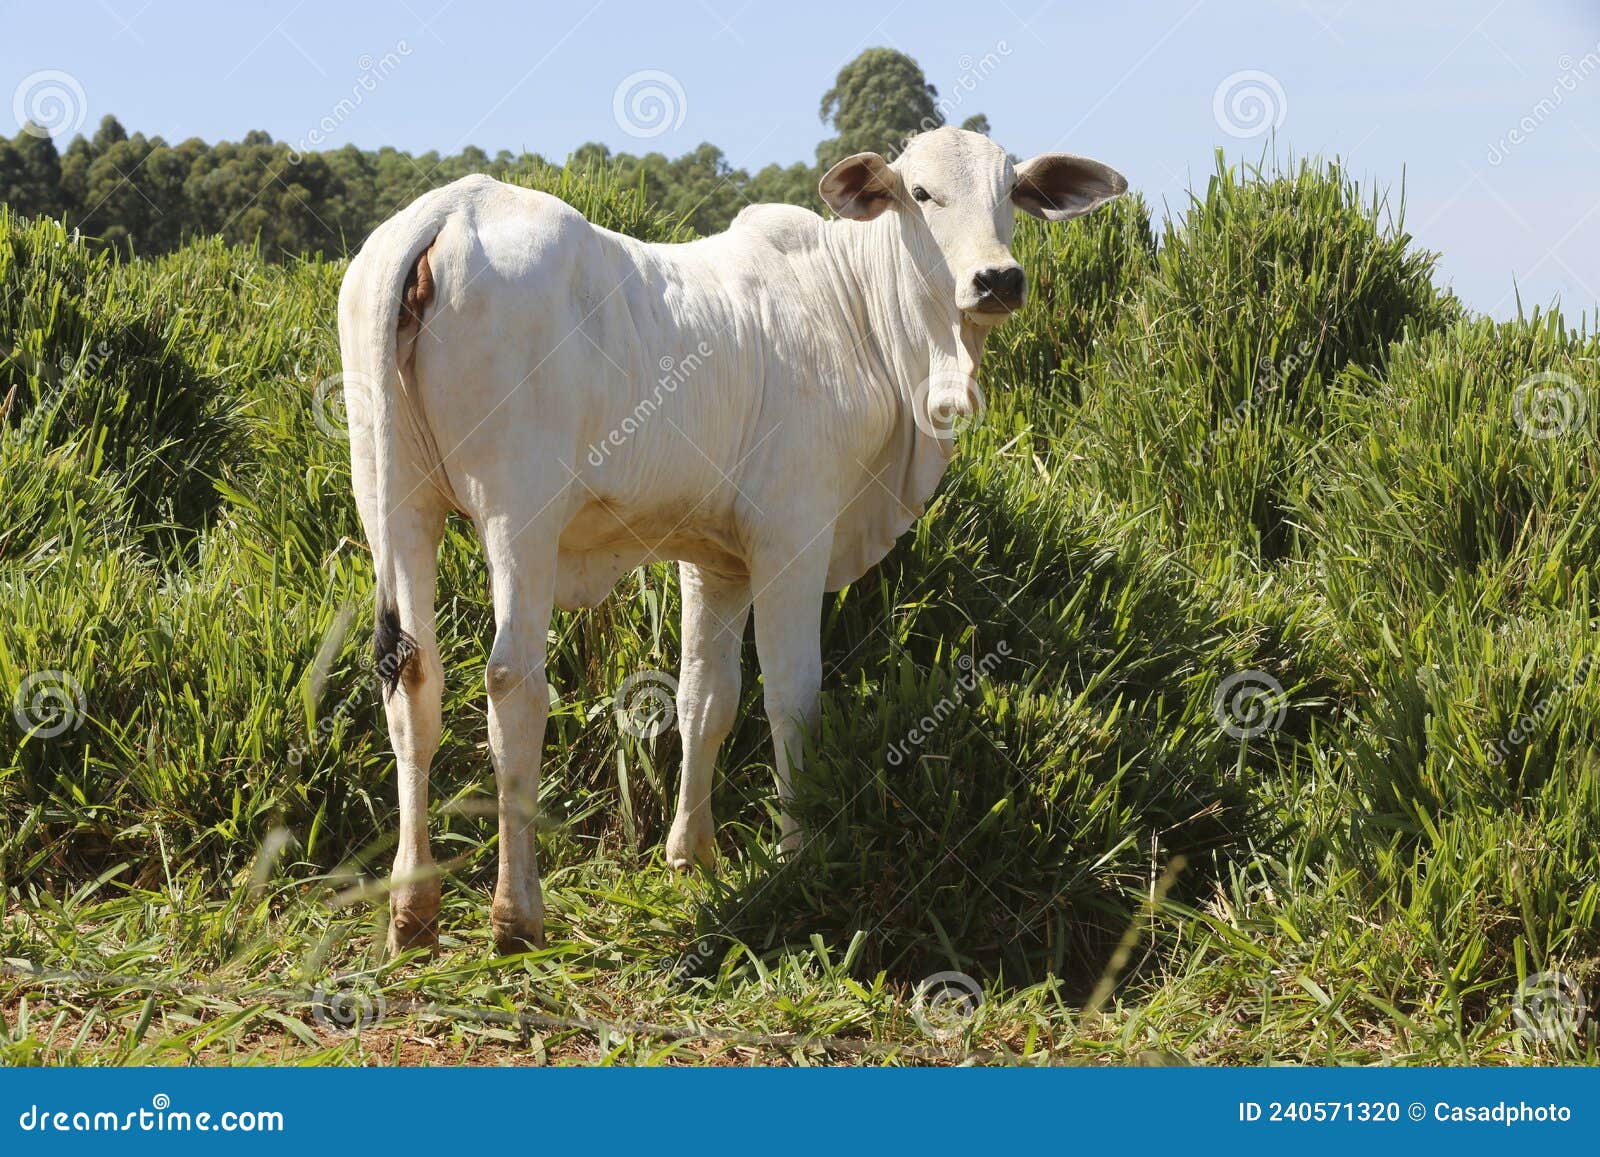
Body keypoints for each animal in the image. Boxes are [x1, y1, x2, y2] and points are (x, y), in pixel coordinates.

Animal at [336, 128, 1126, 960]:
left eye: (1010, 193)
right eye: (921, 192)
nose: (997, 279)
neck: (857, 311)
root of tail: (450, 208)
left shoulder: (715, 561)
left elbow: (705, 698)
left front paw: (692, 854)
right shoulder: (791, 537)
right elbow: (791, 698)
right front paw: (798, 851)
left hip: (393, 500)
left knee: (413, 679)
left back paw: (413, 910)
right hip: (519, 515)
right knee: (512, 682)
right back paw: (517, 915)